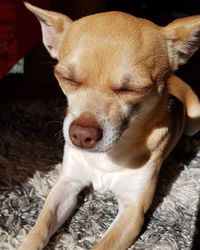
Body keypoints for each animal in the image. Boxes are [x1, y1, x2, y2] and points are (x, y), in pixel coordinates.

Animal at [19, 2, 200, 250]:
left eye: (133, 89)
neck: (108, 156)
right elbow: (40, 227)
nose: (81, 134)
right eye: (67, 79)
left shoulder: (133, 212)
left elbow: (102, 245)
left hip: (195, 117)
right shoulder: (67, 185)